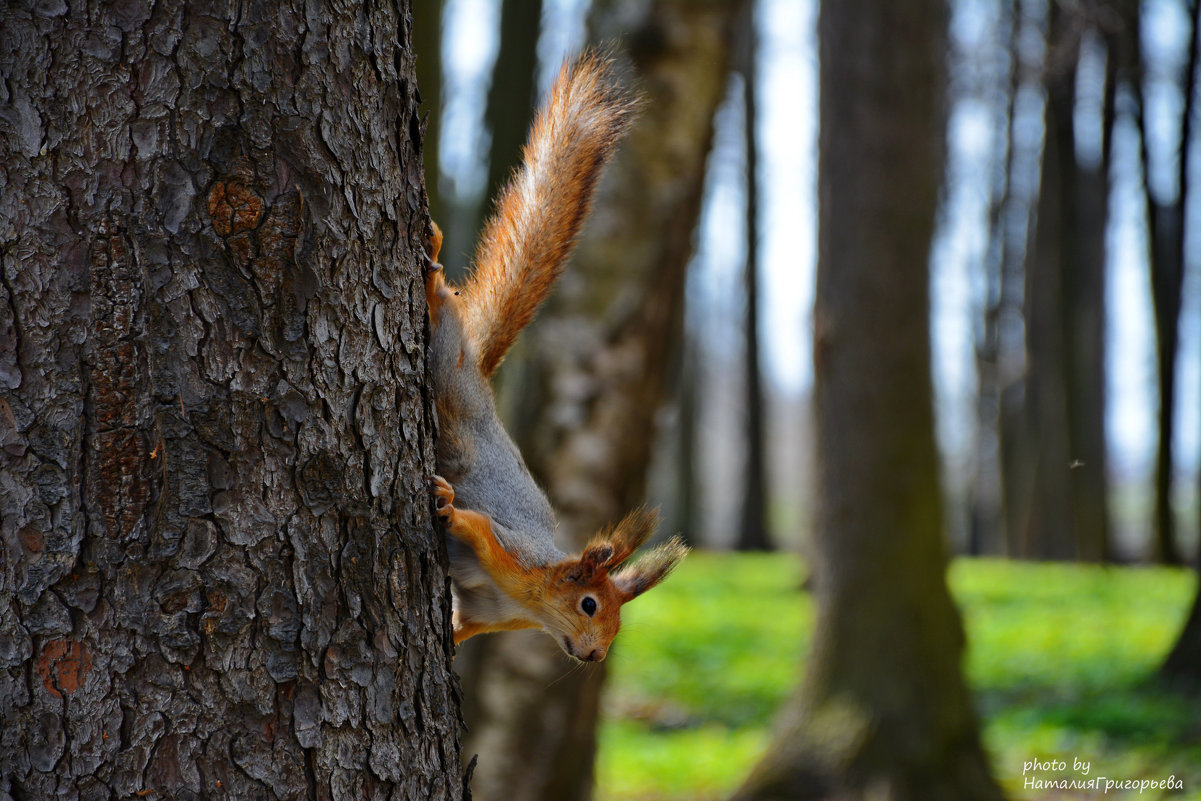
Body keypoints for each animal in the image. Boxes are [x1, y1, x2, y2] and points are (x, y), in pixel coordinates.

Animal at [422, 51, 686, 662]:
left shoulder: (489, 616)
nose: (593, 656)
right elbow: (477, 527)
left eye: (618, 625)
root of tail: (478, 372)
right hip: (447, 370)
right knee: (442, 307)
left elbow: (461, 627)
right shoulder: (513, 555)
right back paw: (433, 268)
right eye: (589, 604)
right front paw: (447, 503)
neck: (531, 603)